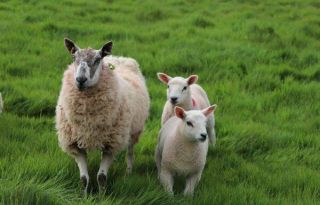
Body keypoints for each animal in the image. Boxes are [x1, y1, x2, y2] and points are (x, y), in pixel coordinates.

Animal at [55, 38, 150, 194]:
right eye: (74, 58)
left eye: (97, 59)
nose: (80, 80)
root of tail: (118, 57)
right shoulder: (75, 145)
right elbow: (84, 178)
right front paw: (84, 196)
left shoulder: (111, 144)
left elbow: (101, 177)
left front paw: (102, 196)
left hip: (133, 130)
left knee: (130, 153)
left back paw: (129, 172)